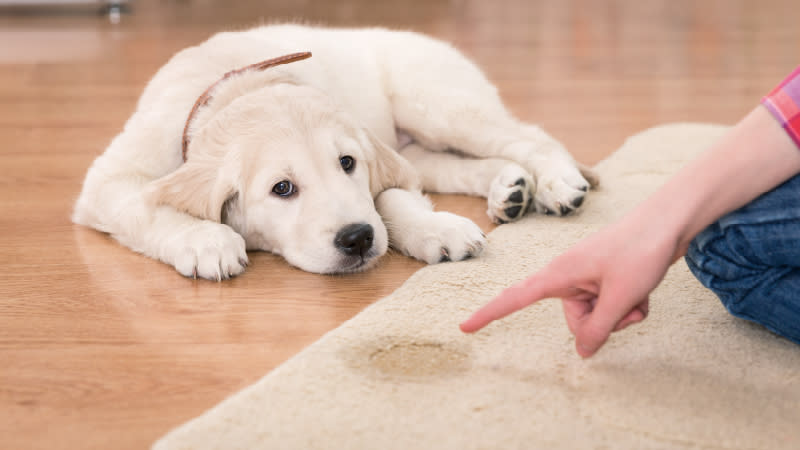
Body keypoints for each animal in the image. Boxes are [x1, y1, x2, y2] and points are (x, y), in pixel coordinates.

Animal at [75, 24, 596, 280]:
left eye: (347, 164)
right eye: (282, 188)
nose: (358, 239)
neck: (236, 87)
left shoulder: (377, 159)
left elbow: (390, 198)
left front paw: (435, 228)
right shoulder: (109, 181)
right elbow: (147, 207)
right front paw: (206, 241)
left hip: (437, 104)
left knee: (530, 137)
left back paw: (556, 184)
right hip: (420, 143)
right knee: (456, 166)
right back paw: (510, 189)